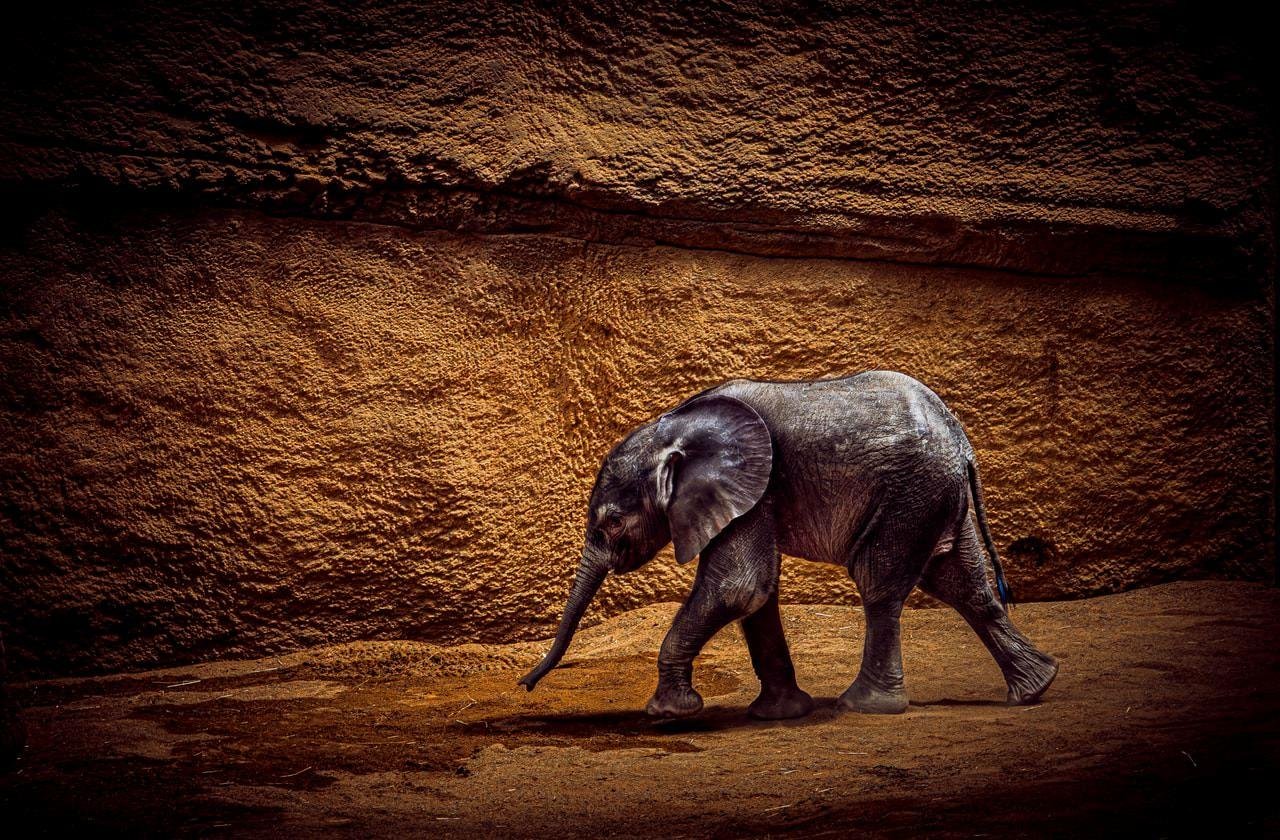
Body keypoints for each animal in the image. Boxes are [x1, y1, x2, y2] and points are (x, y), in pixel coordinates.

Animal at [519, 370, 1058, 720]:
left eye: (610, 524)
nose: (525, 685)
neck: (674, 426)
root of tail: (962, 443)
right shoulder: (753, 495)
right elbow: (757, 593)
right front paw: (779, 713)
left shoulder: (755, 488)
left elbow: (739, 585)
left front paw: (669, 713)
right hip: (938, 496)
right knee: (963, 583)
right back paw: (1035, 689)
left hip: (911, 494)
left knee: (880, 585)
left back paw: (864, 706)